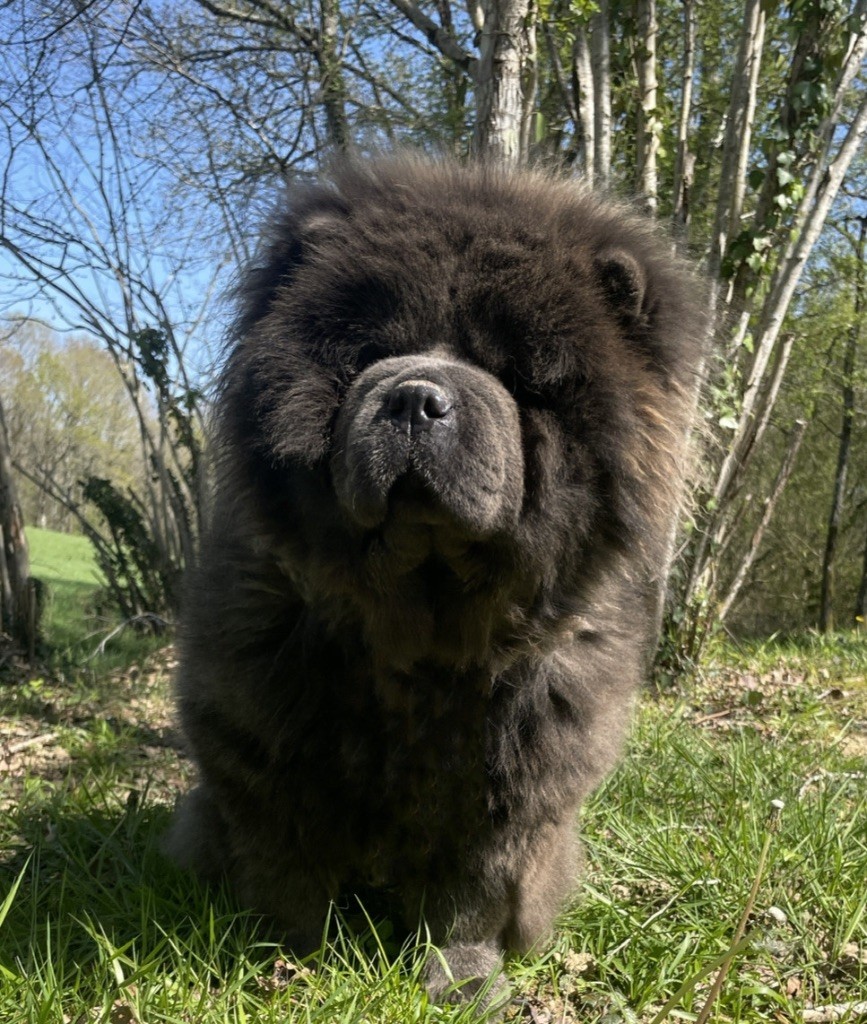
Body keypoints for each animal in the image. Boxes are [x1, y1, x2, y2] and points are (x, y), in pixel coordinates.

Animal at [167, 157, 704, 1007]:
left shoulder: (512, 788)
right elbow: (287, 869)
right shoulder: (265, 747)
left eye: (515, 375)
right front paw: (284, 963)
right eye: (368, 354)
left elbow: (470, 897)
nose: (415, 398)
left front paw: (460, 981)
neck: (422, 635)